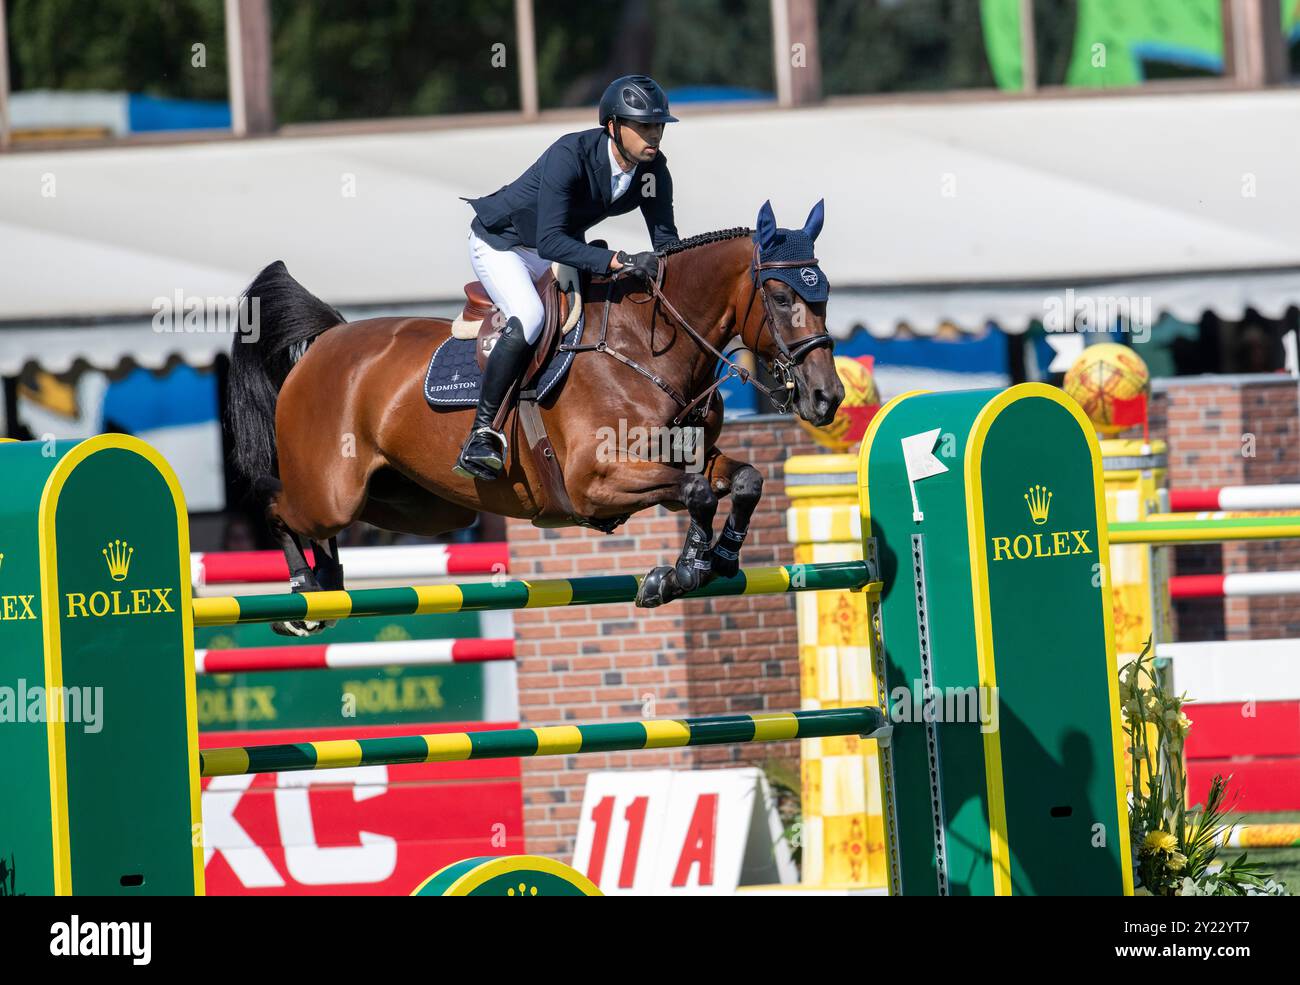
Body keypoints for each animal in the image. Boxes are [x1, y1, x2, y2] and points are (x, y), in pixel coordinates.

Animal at [226, 200, 842, 631]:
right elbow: (696, 494)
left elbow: (743, 480)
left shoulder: (684, 460)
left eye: (826, 296)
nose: (827, 398)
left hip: (419, 505)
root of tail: (328, 339)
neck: (646, 348)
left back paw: (328, 583)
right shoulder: (595, 481)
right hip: (332, 492)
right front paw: (681, 572)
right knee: (279, 506)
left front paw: (714, 560)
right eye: (781, 298)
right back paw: (303, 590)